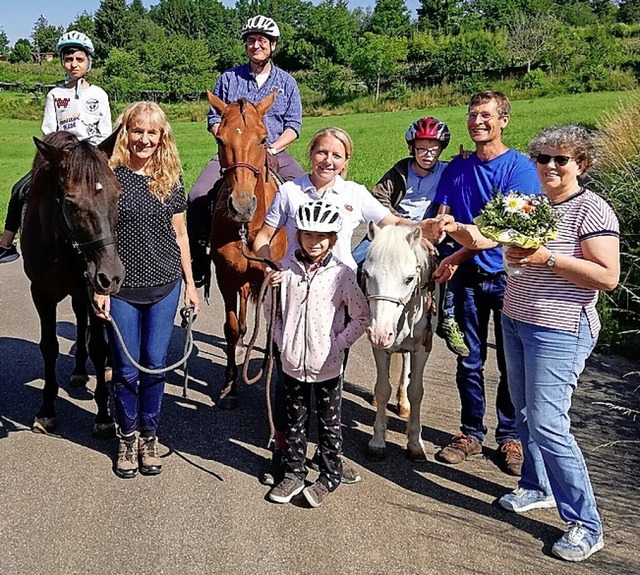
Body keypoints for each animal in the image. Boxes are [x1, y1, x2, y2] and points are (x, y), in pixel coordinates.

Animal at [21, 130, 125, 436]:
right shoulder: (41, 294)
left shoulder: (94, 293)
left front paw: (103, 415)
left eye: (117, 194)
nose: (111, 276)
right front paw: (46, 410)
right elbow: (49, 346)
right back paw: (79, 370)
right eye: (70, 202)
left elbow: (99, 348)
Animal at [362, 223, 438, 462]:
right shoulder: (378, 348)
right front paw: (377, 441)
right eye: (367, 274)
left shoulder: (422, 348)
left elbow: (417, 391)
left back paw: (403, 403)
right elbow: (382, 389)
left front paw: (415, 443)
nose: (380, 333)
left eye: (409, 278)